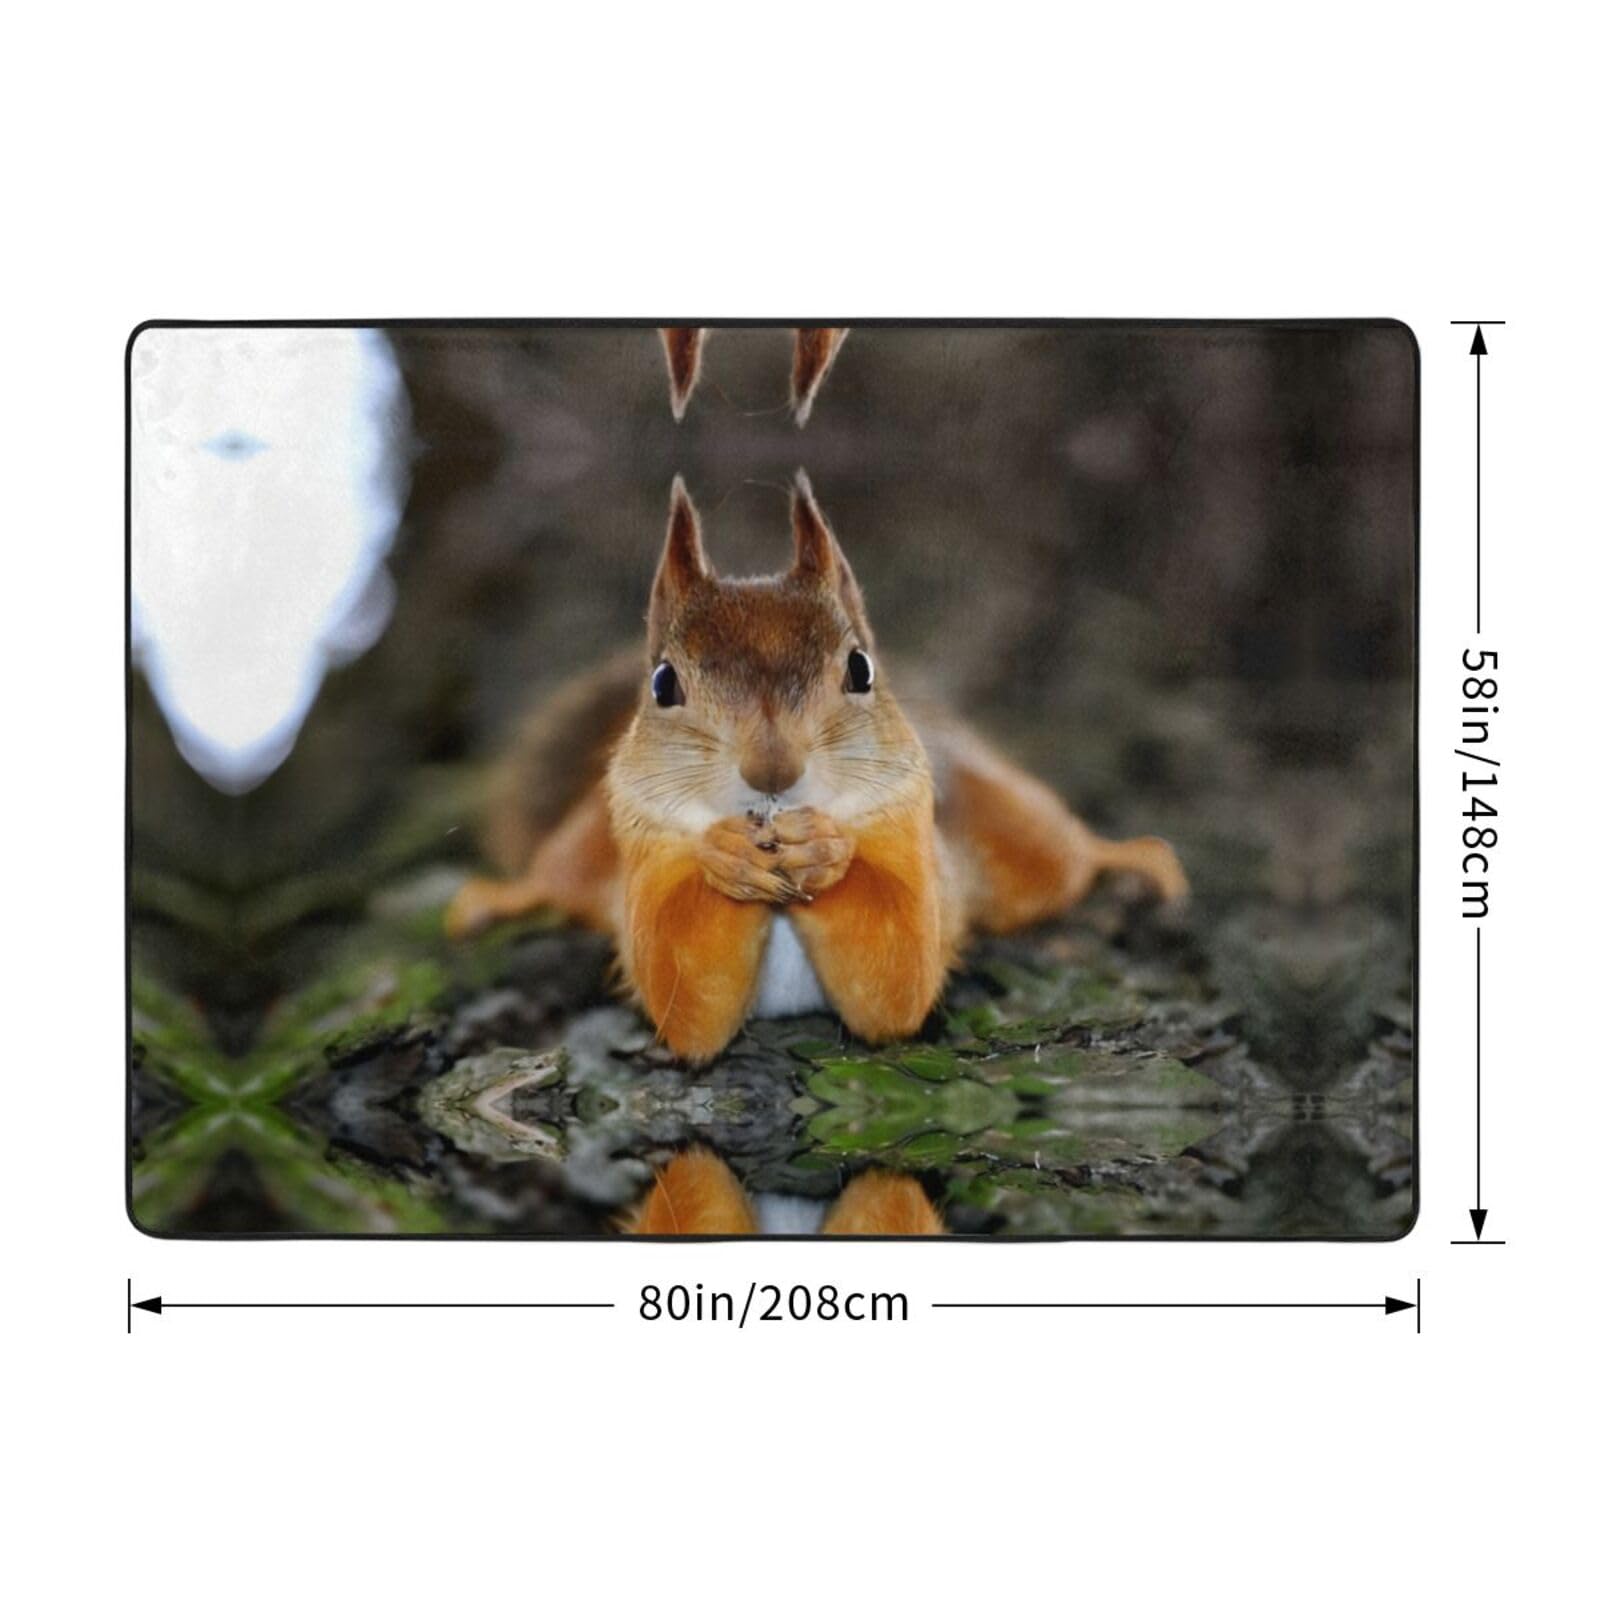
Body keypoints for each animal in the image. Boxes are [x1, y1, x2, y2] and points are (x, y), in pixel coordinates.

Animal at [446, 472, 1187, 1065]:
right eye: (662, 684)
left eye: (861, 669)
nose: (772, 769)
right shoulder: (645, 856)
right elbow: (685, 998)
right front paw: (725, 855)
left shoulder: (916, 848)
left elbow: (897, 976)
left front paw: (825, 849)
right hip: (585, 848)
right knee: (556, 876)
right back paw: (497, 899)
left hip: (1011, 831)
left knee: (1060, 856)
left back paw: (1131, 856)